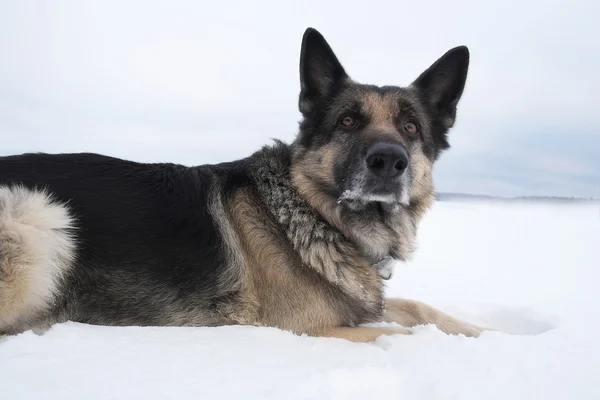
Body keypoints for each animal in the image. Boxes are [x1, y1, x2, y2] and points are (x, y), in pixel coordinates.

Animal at [0, 28, 486, 342]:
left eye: (410, 127)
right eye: (348, 121)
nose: (388, 161)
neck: (312, 214)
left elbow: (419, 309)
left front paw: (487, 331)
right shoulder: (312, 329)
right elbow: (402, 337)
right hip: (36, 214)